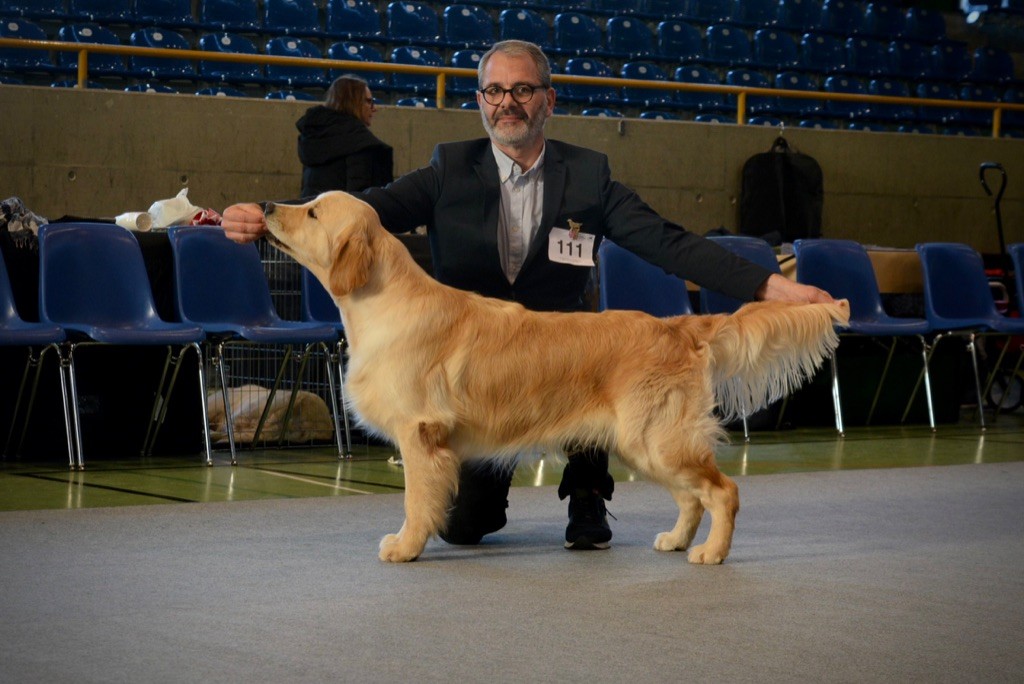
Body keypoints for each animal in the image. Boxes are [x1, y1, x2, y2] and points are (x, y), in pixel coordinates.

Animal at [262, 191, 847, 561]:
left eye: (312, 211)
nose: (265, 206)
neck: (386, 301)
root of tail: (680, 324)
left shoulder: (421, 434)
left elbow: (415, 501)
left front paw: (405, 548)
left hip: (656, 438)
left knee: (723, 492)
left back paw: (711, 554)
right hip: (646, 442)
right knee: (691, 497)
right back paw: (677, 541)